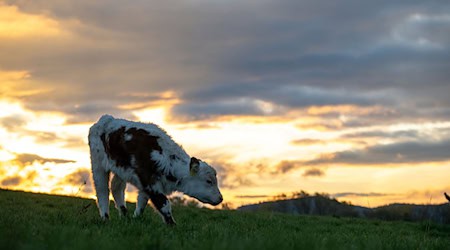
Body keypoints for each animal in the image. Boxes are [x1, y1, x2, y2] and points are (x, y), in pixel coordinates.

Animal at [88, 115, 221, 225]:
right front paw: (173, 225)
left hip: (120, 170)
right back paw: (105, 218)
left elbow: (141, 202)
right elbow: (164, 204)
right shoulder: (150, 182)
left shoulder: (145, 184)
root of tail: (106, 118)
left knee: (116, 188)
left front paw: (136, 219)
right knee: (102, 191)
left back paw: (125, 215)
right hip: (97, 163)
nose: (221, 198)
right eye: (209, 181)